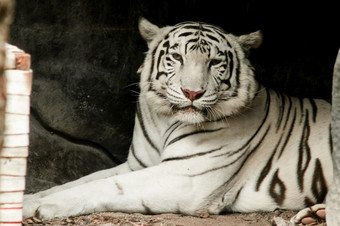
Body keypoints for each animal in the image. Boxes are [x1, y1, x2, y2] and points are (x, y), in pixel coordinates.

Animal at [23, 18, 332, 224]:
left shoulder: (187, 176)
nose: (192, 92)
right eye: (176, 57)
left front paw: (42, 207)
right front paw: (28, 199)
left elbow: (105, 186)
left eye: (215, 63)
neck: (165, 120)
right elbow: (77, 181)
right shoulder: (137, 164)